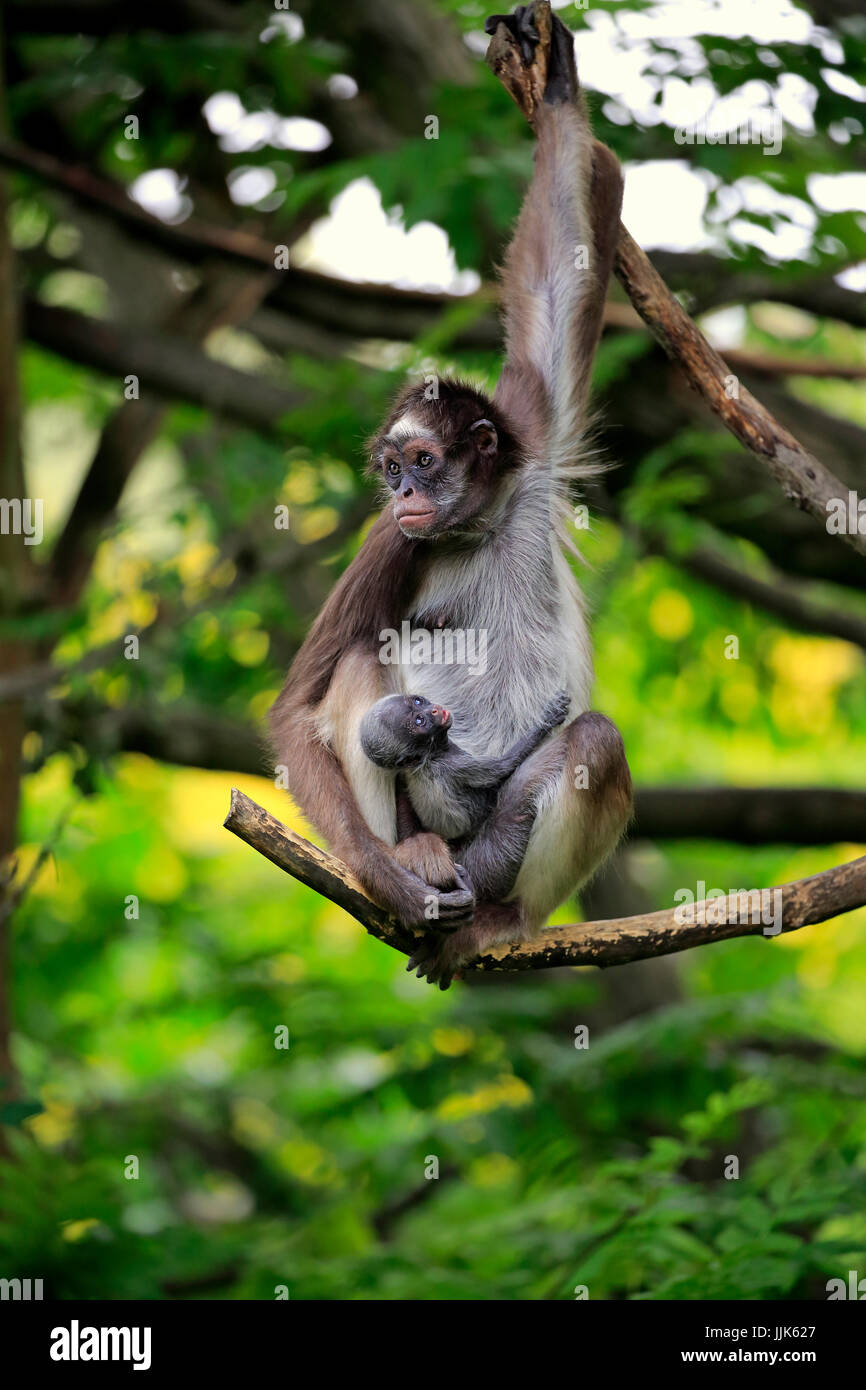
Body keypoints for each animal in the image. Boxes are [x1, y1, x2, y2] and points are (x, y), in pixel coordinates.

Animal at [268, 8, 633, 989]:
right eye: (391, 471)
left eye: (424, 461)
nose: (404, 494)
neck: (483, 521)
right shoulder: (391, 541)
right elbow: (295, 711)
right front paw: (390, 882)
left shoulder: (531, 446)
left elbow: (554, 276)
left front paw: (555, 86)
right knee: (364, 659)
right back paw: (418, 863)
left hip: (500, 849)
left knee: (592, 743)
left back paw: (498, 919)